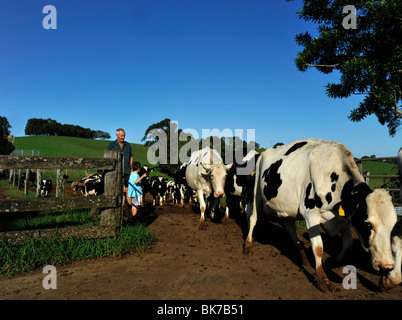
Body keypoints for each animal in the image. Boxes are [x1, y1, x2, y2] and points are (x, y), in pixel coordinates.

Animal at [243, 138, 398, 292]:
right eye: (367, 223)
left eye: (393, 225)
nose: (387, 266)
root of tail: (263, 153)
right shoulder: (310, 212)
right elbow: (318, 247)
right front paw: (322, 279)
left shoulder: (344, 218)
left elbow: (348, 245)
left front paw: (332, 262)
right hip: (256, 193)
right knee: (253, 218)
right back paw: (248, 246)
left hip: (288, 206)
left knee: (290, 228)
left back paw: (302, 255)